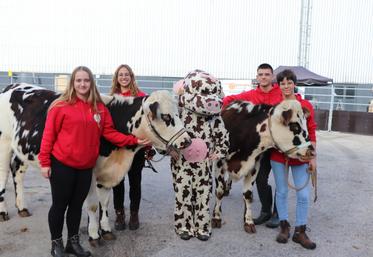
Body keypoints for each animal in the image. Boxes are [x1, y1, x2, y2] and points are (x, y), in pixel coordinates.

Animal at [212, 99, 314, 233]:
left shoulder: (254, 166)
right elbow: (219, 191)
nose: (311, 151)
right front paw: (216, 217)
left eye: (306, 125)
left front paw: (248, 221)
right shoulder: (218, 163)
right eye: (295, 126)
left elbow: (248, 195)